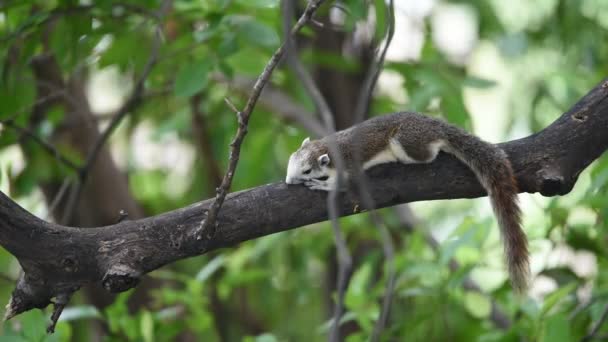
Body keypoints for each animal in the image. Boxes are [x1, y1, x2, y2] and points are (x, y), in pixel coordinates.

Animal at [284, 112, 528, 292]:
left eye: (307, 170)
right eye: (291, 159)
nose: (287, 181)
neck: (328, 148)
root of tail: (435, 126)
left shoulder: (349, 167)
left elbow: (342, 185)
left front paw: (322, 185)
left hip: (406, 141)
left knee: (429, 152)